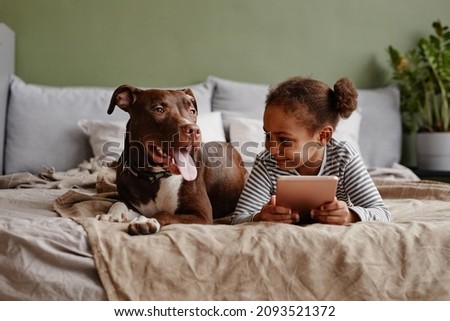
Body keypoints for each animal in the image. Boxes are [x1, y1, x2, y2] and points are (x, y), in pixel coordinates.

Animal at [96, 84, 248, 235]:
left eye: (192, 111)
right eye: (159, 109)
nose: (194, 130)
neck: (152, 177)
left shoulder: (201, 215)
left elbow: (164, 213)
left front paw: (146, 221)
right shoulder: (131, 202)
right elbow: (118, 203)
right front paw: (112, 215)